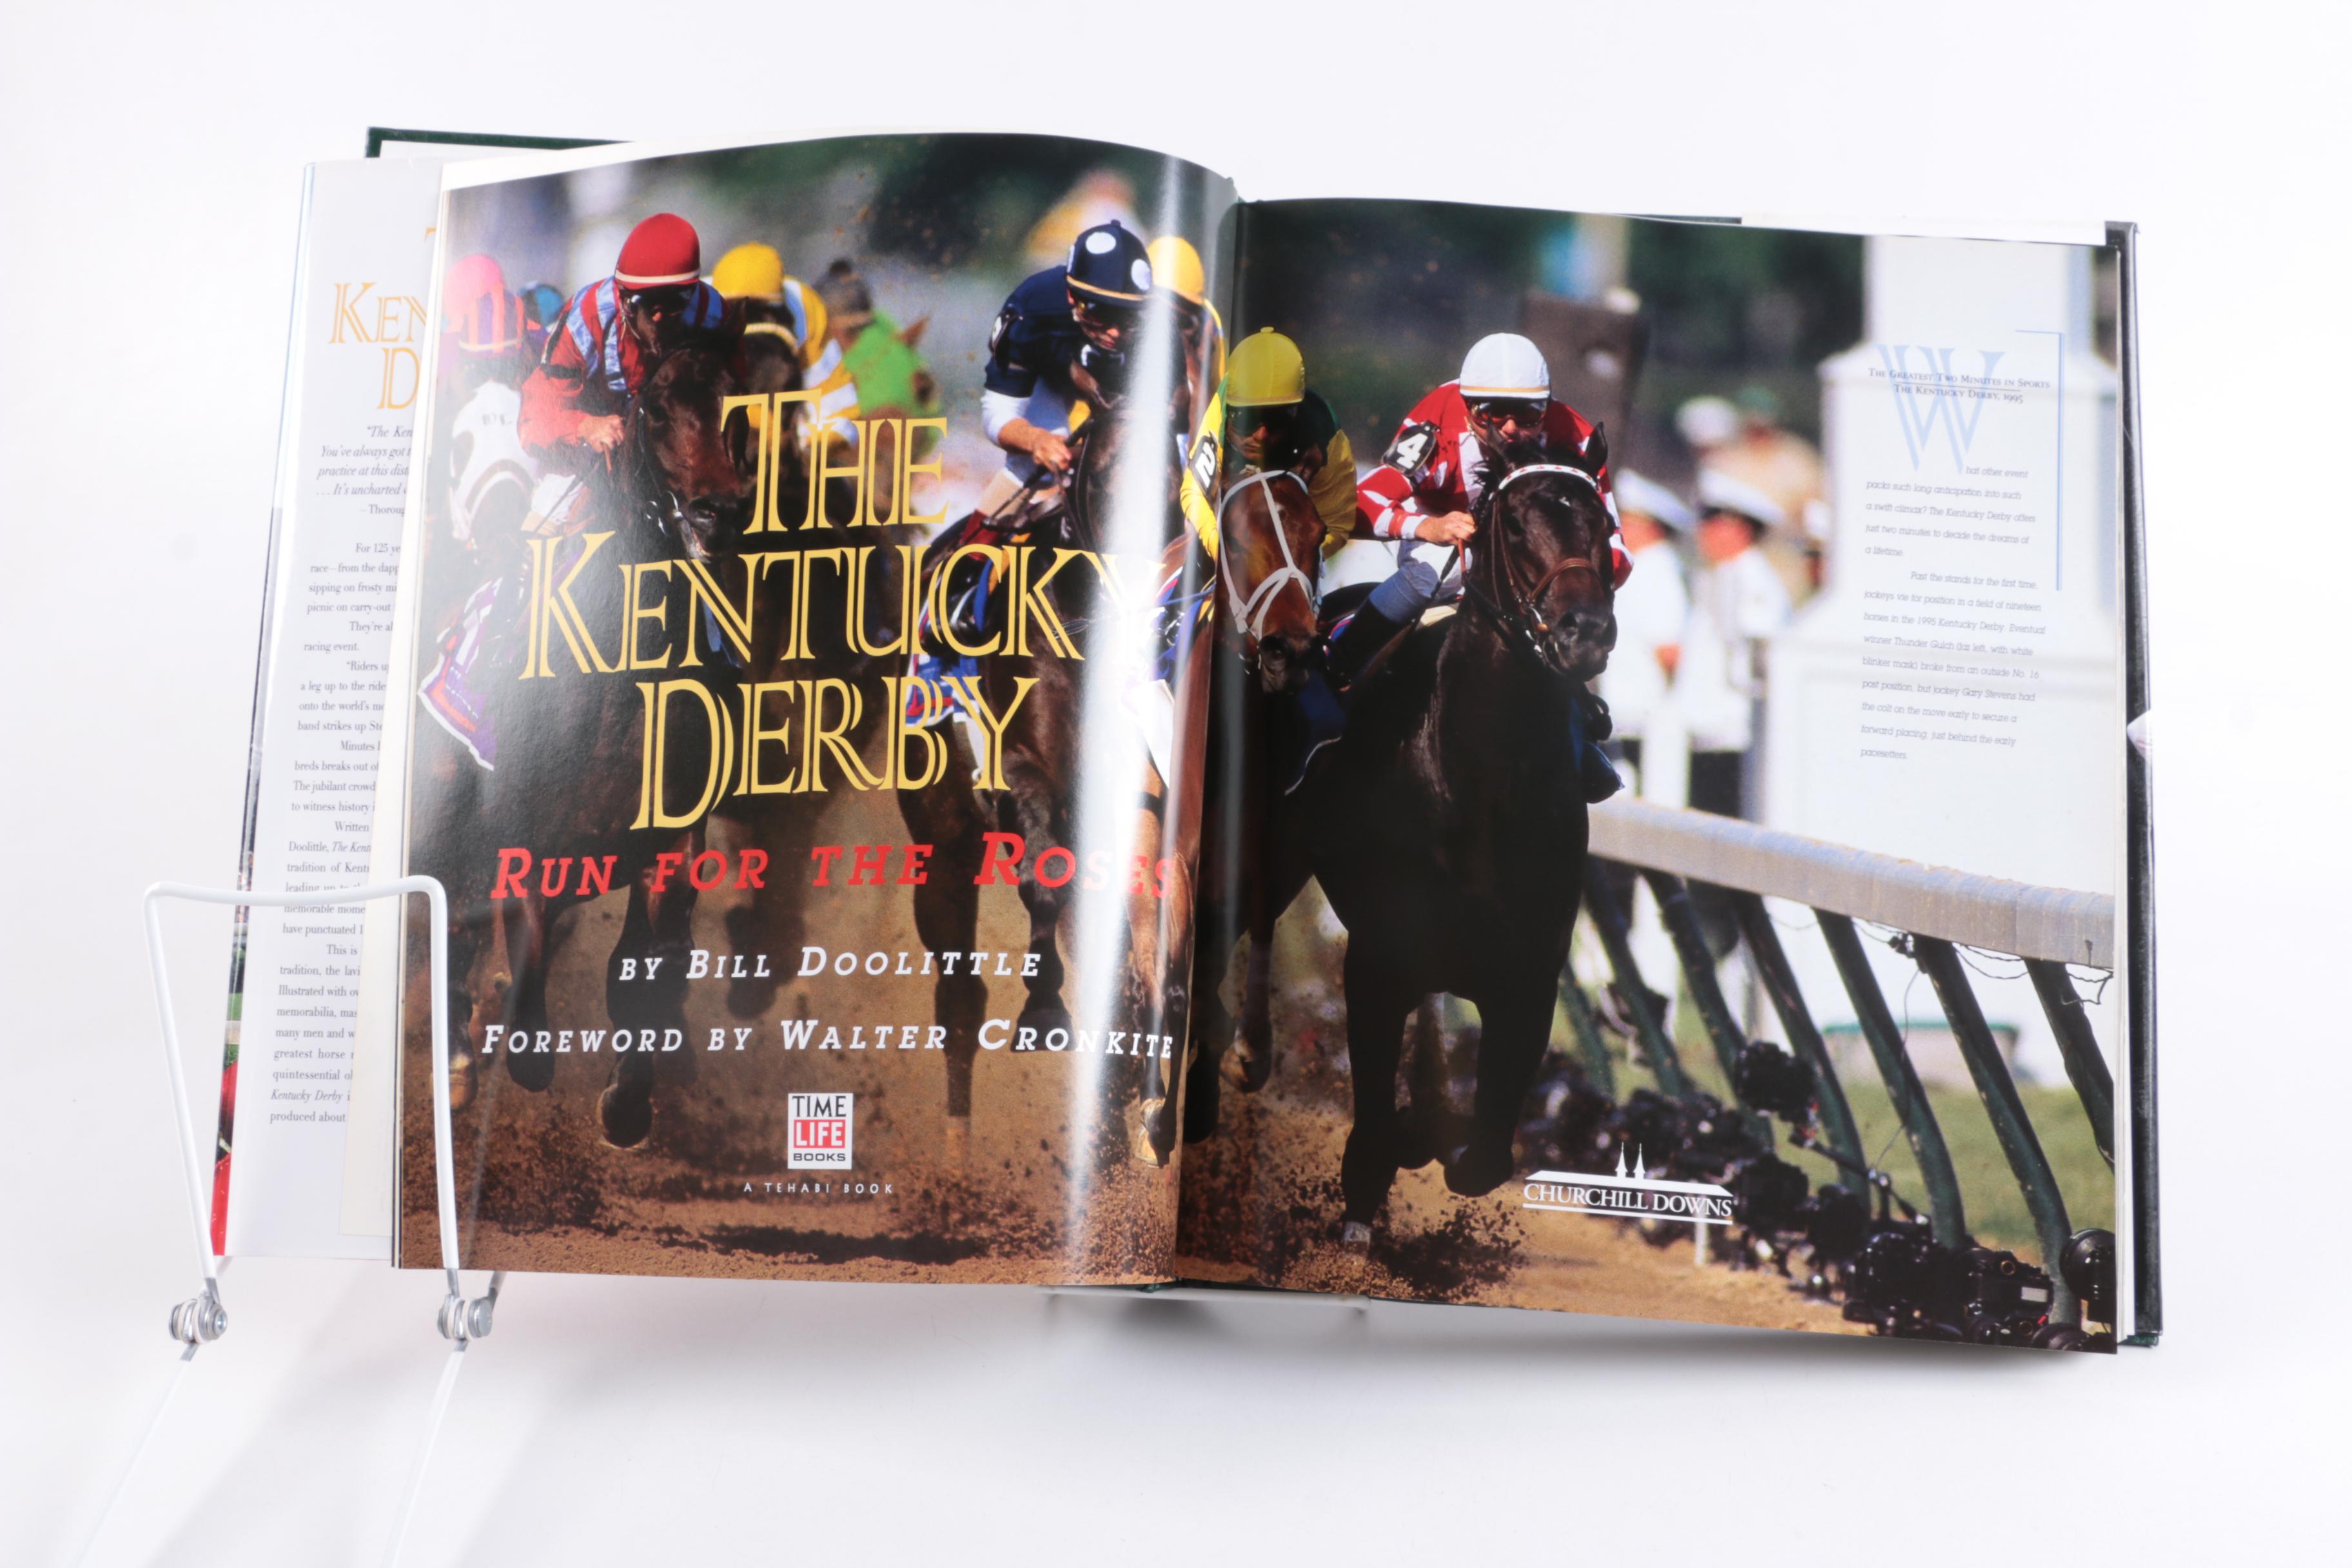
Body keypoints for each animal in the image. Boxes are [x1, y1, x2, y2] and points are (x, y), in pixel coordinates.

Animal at [419, 338, 757, 1149]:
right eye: (657, 407)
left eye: (739, 404)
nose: (719, 510)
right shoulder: (525, 838)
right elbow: (528, 974)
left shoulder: (671, 839)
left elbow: (650, 959)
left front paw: (628, 1099)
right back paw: (456, 1063)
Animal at [1287, 436, 1619, 1242]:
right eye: (1515, 525)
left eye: (1601, 523)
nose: (1587, 631)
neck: (1481, 783)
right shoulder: (1377, 960)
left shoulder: (1529, 975)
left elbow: (1486, 1154)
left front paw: (1439, 1133)